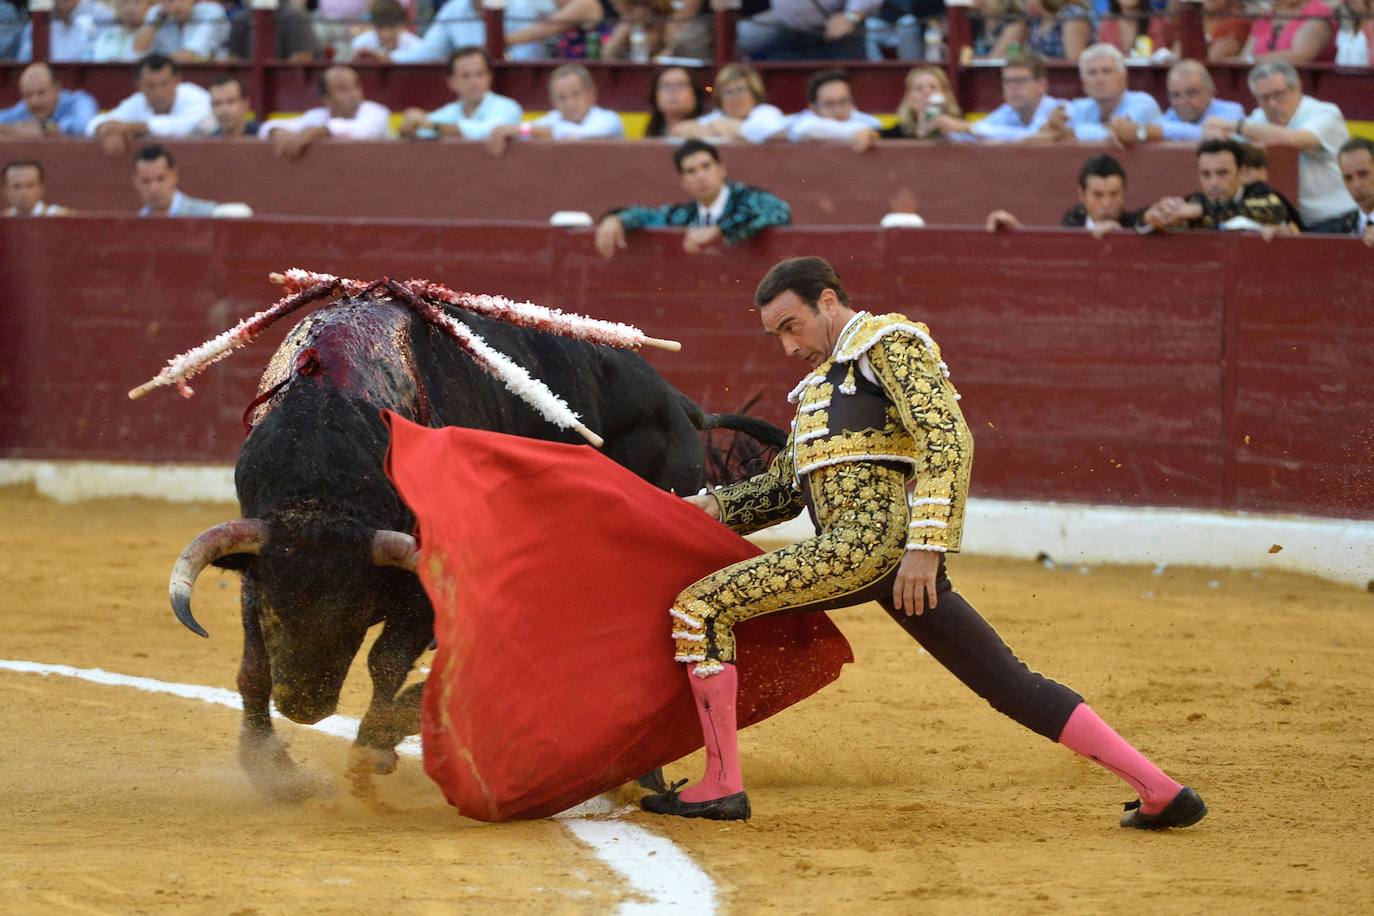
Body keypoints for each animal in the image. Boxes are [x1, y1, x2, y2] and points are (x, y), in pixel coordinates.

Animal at [163, 287, 774, 802]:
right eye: (273, 612)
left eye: (356, 613)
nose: (304, 707)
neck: (324, 488)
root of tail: (678, 401)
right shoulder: (258, 564)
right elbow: (253, 666)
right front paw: (272, 767)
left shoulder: (420, 592)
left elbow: (386, 661)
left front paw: (371, 749)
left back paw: (643, 775)